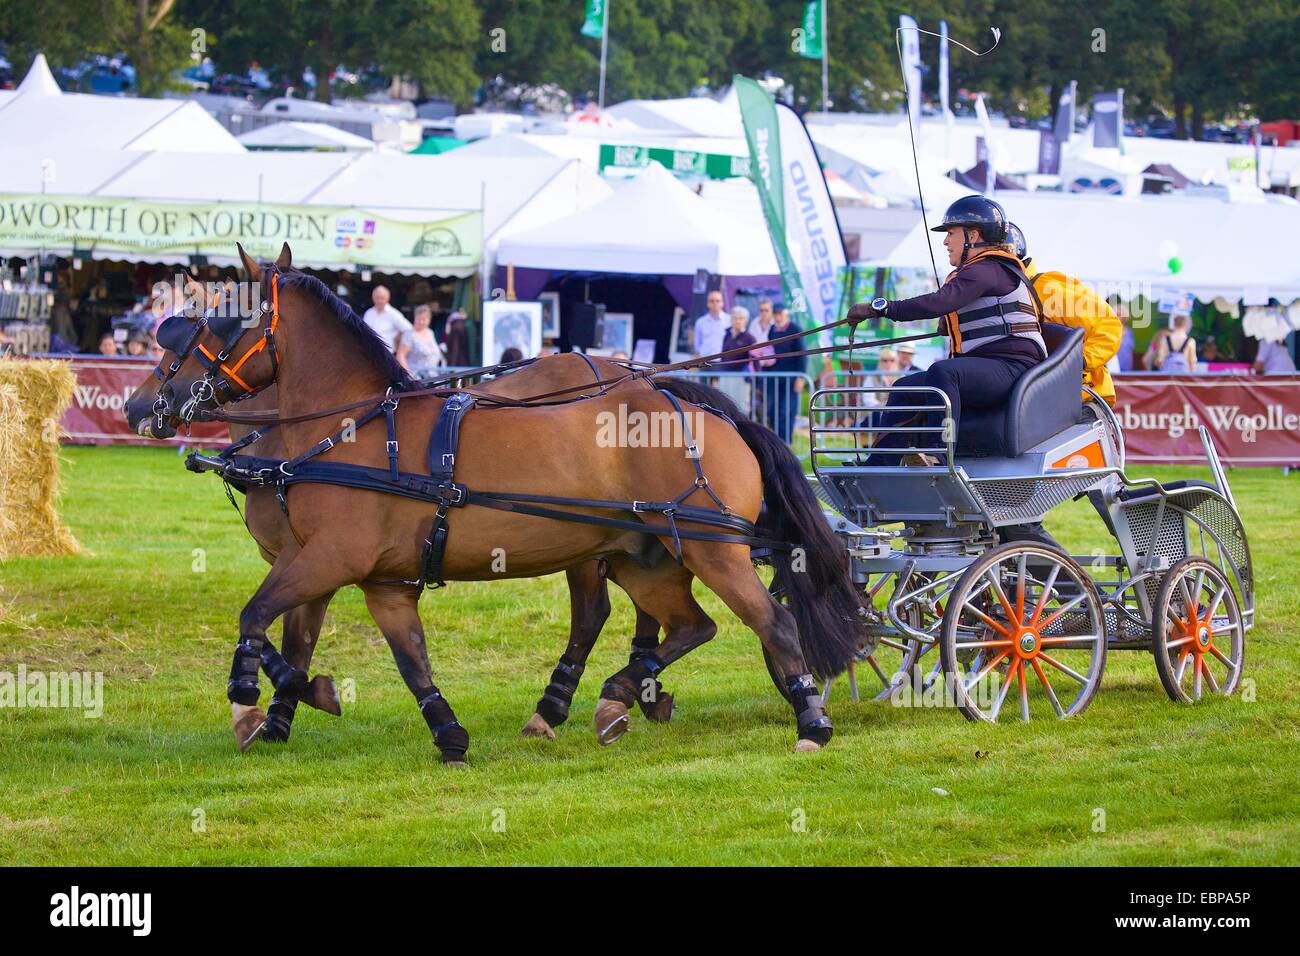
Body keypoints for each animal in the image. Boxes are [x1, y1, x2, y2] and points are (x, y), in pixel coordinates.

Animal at [142, 244, 863, 764]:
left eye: (224, 316)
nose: (148, 403)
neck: (352, 430)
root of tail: (698, 406)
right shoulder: (377, 581)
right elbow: (402, 661)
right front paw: (445, 735)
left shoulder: (327, 558)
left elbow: (256, 618)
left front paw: (249, 702)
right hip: (646, 559)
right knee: (690, 625)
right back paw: (618, 695)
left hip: (716, 553)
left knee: (772, 623)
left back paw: (810, 722)